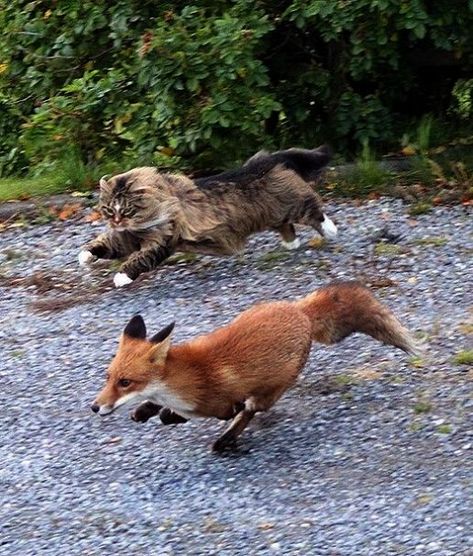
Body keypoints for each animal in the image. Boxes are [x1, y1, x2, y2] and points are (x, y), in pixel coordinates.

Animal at [77, 146, 336, 286]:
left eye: (126, 210)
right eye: (108, 209)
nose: (116, 221)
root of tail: (264, 160)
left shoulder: (161, 241)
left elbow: (138, 260)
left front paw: (121, 277)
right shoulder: (124, 238)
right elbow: (103, 244)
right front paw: (84, 256)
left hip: (294, 204)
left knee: (313, 208)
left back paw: (331, 230)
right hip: (273, 213)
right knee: (286, 225)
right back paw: (291, 244)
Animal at [91, 282, 416, 452]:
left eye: (125, 382)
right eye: (108, 377)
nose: (95, 407)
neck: (187, 378)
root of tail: (300, 311)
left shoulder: (221, 402)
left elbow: (221, 411)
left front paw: (168, 415)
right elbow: (156, 409)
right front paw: (146, 410)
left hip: (271, 390)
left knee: (250, 411)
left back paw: (226, 440)